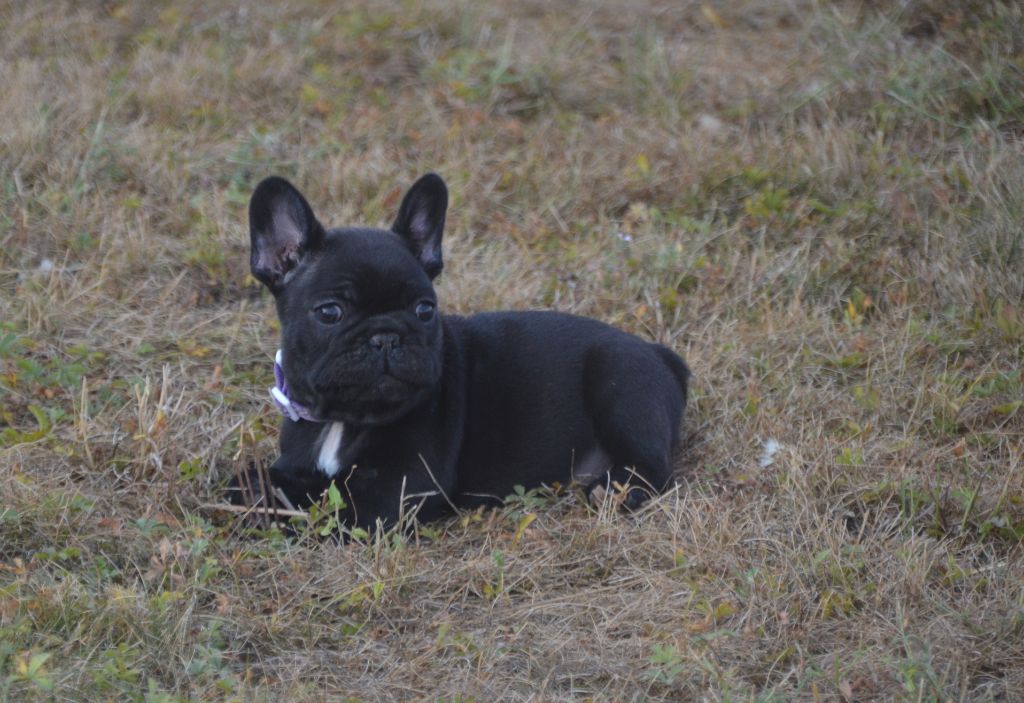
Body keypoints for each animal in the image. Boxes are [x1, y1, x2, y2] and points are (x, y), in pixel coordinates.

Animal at [230, 173, 689, 530]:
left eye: (424, 309)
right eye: (330, 312)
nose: (386, 336)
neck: (344, 418)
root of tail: (657, 353)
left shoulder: (399, 486)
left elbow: (325, 495)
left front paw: (265, 494)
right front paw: (252, 484)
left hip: (620, 383)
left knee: (651, 466)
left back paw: (616, 490)